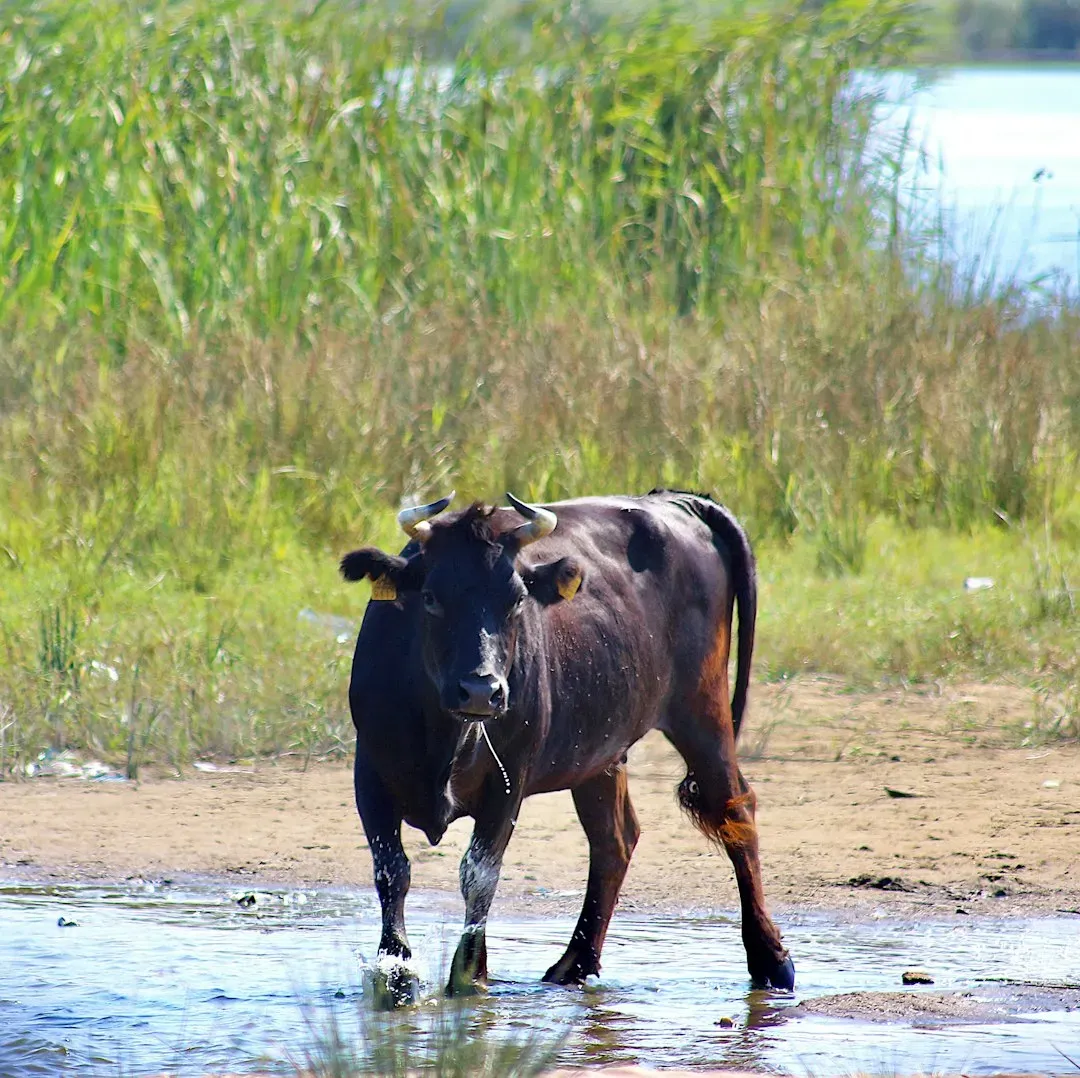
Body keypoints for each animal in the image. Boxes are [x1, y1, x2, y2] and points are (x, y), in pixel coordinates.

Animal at [340, 490, 794, 1001]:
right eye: (432, 598)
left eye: (517, 599)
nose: (481, 690)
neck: (441, 727)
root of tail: (678, 501)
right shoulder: (369, 775)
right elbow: (391, 870)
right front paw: (395, 975)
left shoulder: (508, 783)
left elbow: (479, 874)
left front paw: (469, 973)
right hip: (602, 753)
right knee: (615, 838)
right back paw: (575, 962)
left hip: (703, 711)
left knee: (736, 811)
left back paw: (771, 959)